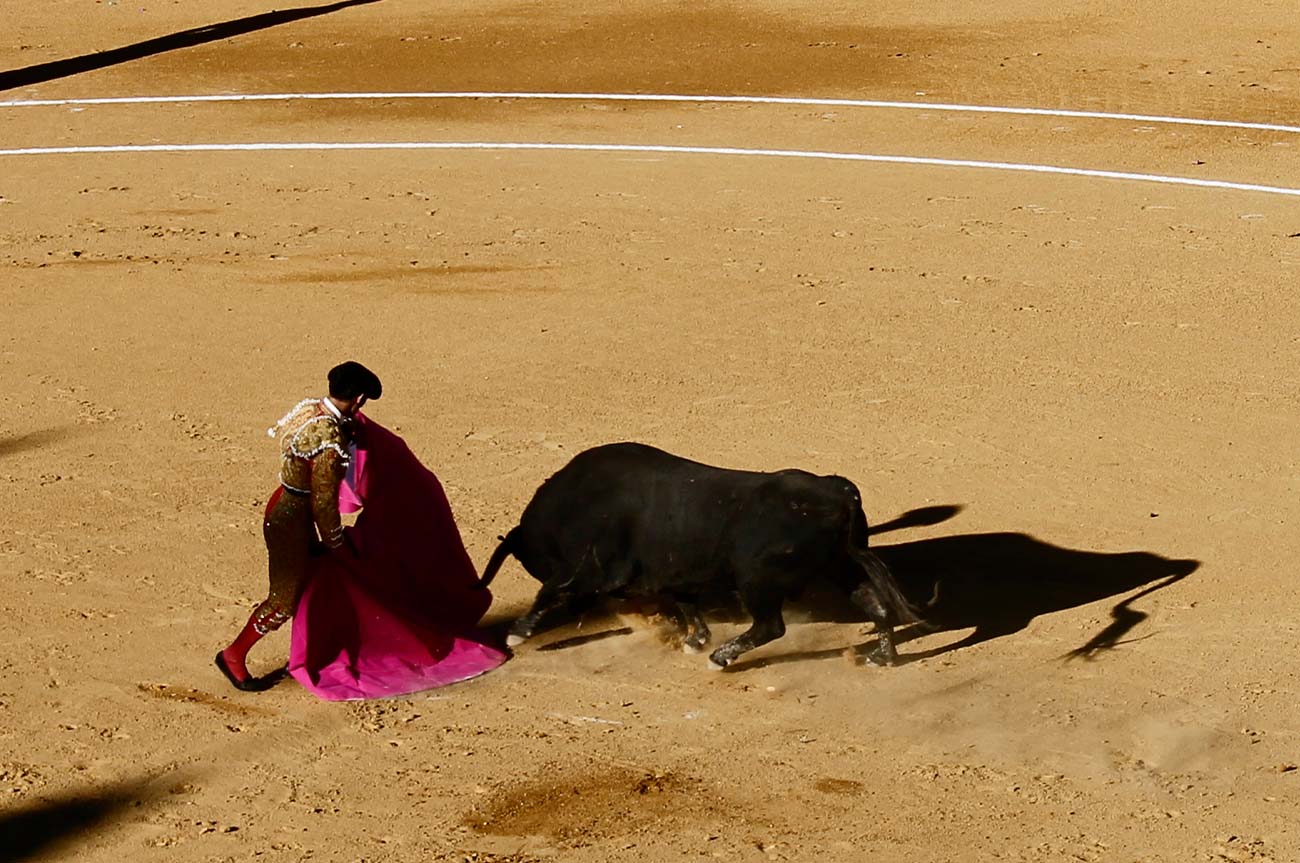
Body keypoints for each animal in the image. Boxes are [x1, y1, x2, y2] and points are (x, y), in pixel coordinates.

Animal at [480, 441, 925, 670]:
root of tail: (838, 492)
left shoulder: (589, 569)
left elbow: (550, 592)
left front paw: (517, 632)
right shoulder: (673, 573)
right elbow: (686, 604)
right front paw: (695, 638)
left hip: (758, 581)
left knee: (770, 626)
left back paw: (721, 657)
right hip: (840, 566)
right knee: (875, 604)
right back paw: (883, 657)